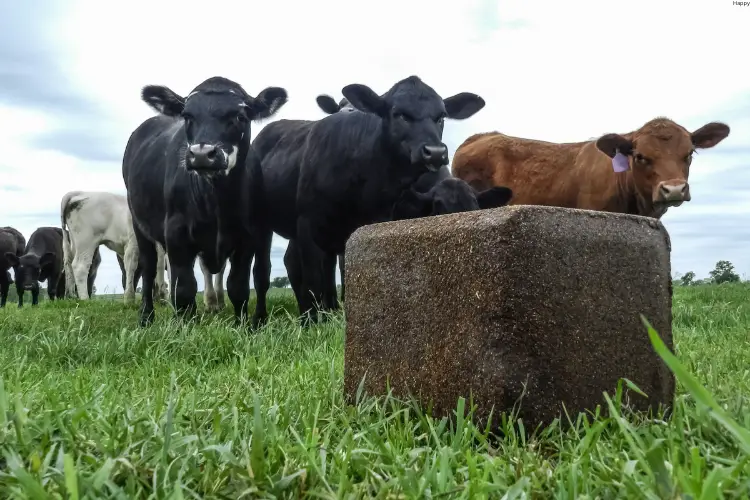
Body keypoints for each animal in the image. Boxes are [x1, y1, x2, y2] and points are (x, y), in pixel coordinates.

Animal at [123, 73, 288, 324]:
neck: (216, 203)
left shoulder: (247, 238)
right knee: (149, 268)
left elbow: (238, 287)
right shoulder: (176, 233)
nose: (201, 154)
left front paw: (242, 325)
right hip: (138, 223)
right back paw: (146, 317)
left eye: (239, 116)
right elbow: (183, 289)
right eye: (187, 116)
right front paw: (184, 327)